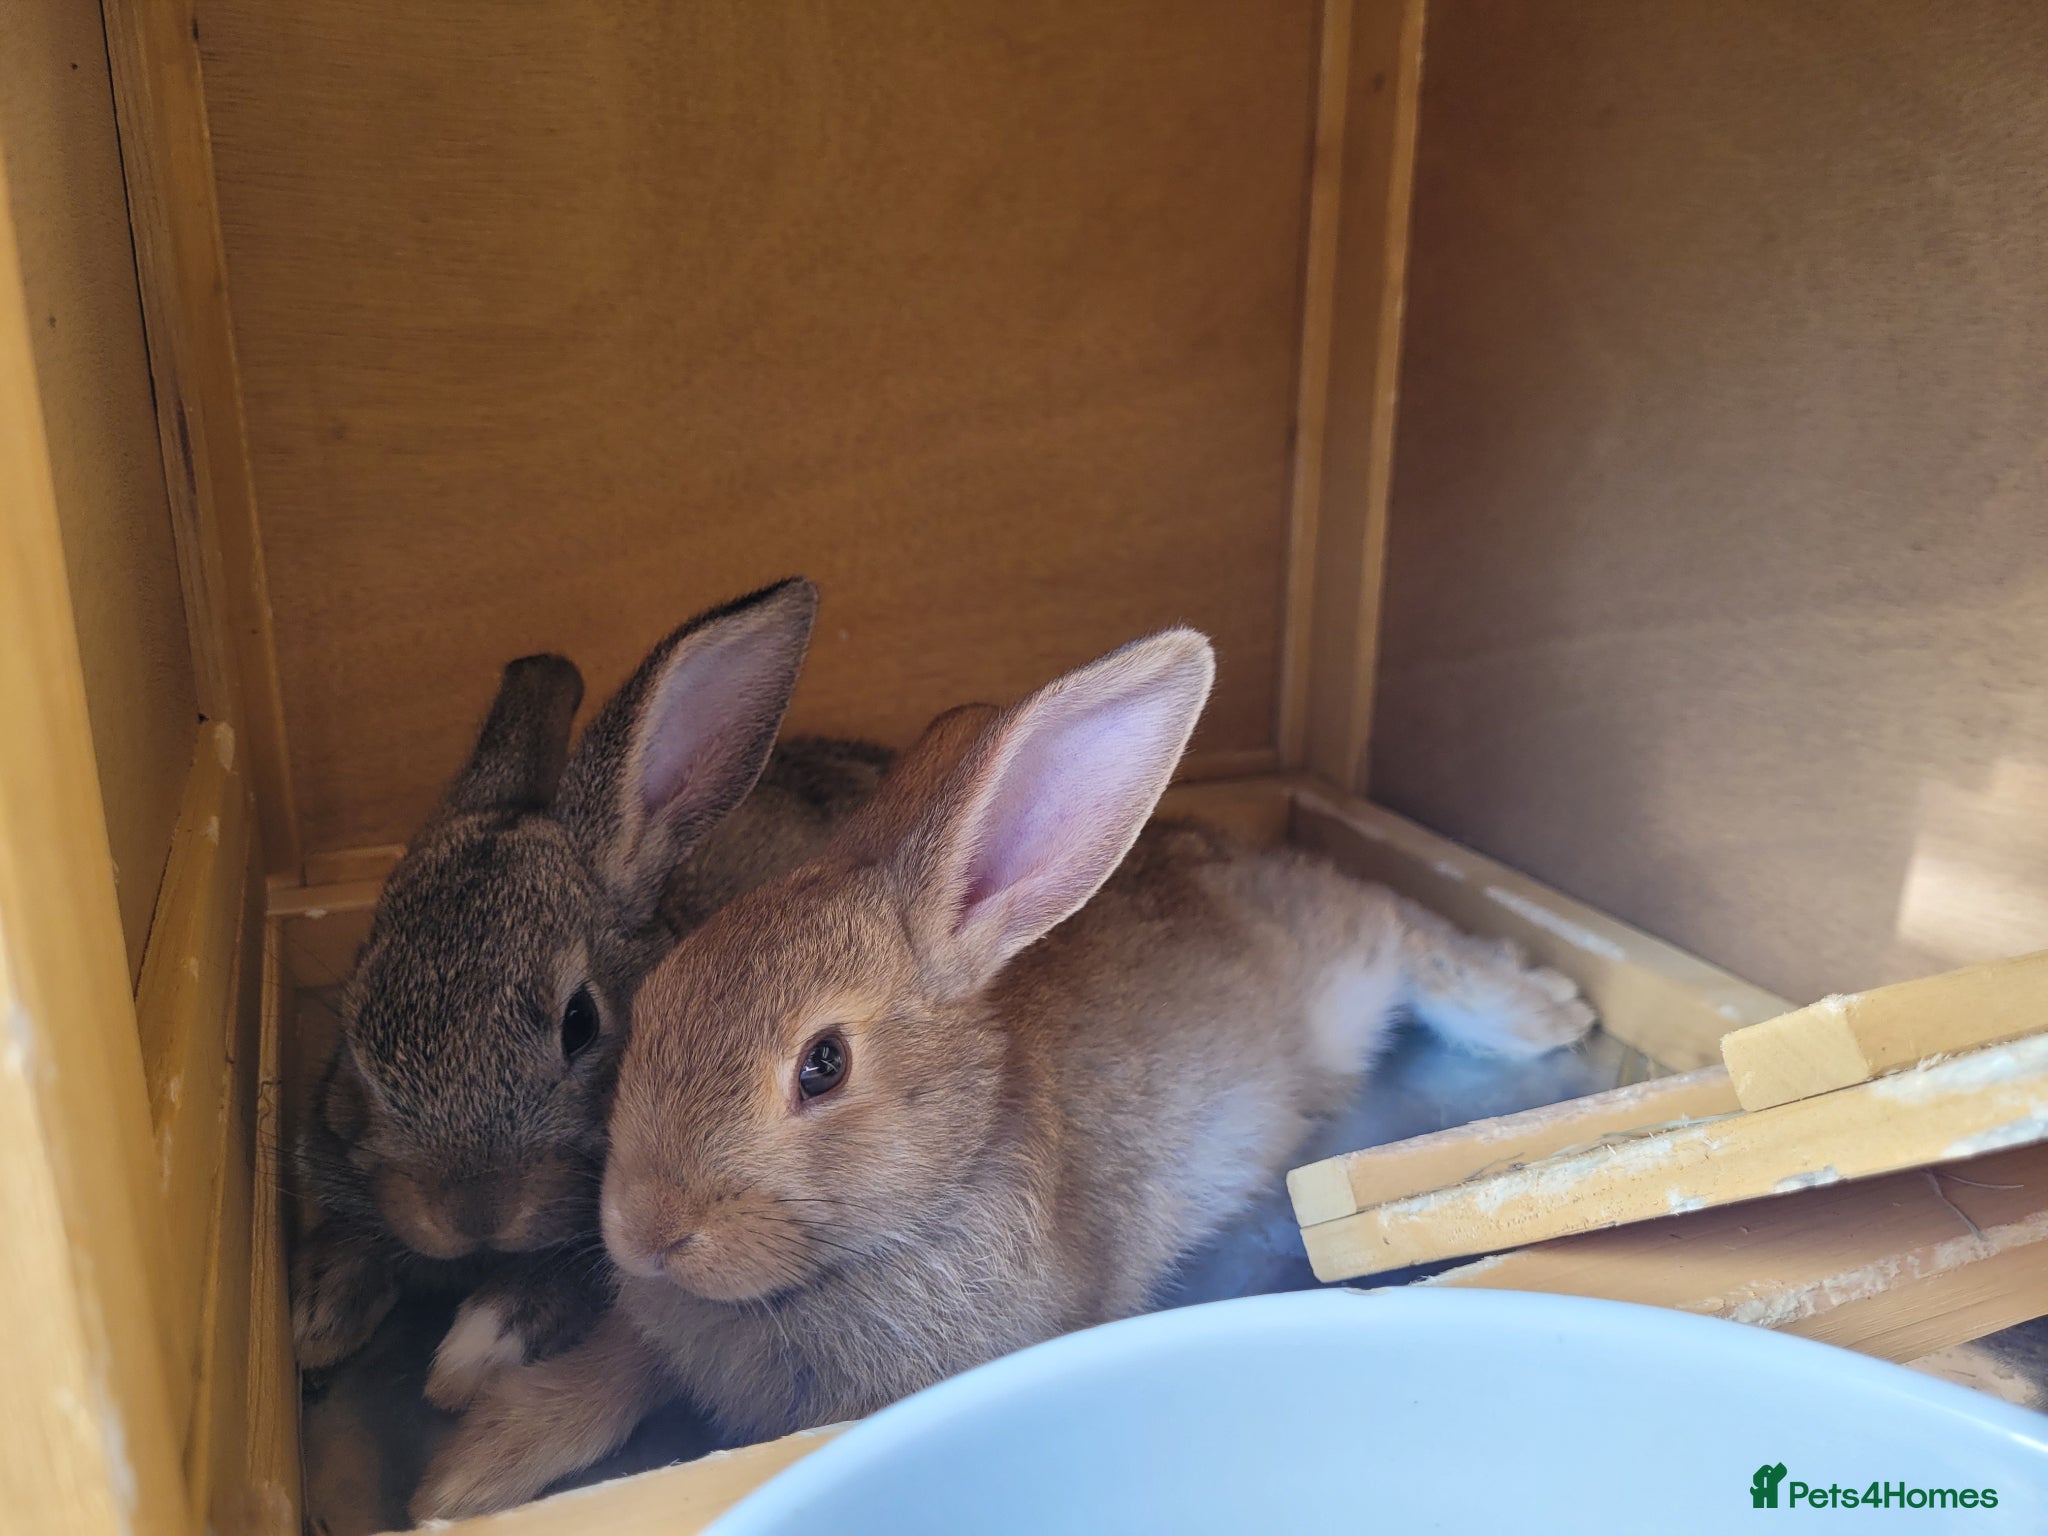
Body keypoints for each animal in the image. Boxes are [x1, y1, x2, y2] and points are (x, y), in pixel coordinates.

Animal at [410, 628, 1596, 1520]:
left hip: (1342, 973)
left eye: (823, 1067)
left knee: (1398, 924)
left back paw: (1543, 1008)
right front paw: (463, 1475)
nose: (644, 1235)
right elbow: (609, 1372)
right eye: (642, 1012)